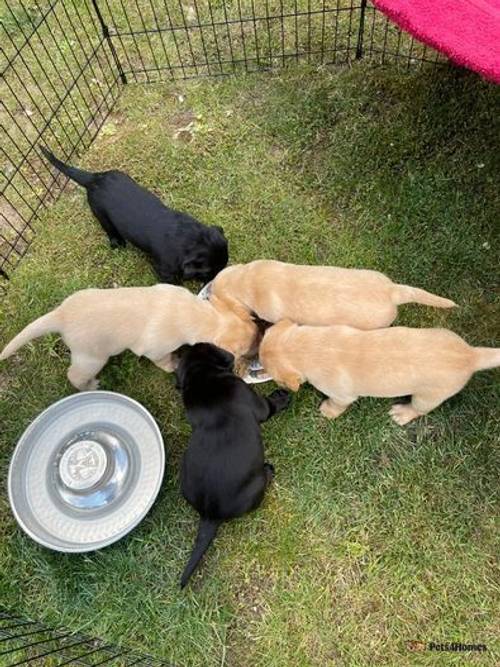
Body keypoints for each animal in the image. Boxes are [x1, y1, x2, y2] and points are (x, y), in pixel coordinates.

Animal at [0, 284, 256, 392]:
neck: (194, 313)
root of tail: (61, 315)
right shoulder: (155, 350)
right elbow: (163, 361)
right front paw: (173, 364)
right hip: (92, 357)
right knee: (74, 374)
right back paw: (90, 386)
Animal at [41, 147, 229, 284]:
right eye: (207, 273)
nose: (215, 281)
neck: (189, 237)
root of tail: (94, 179)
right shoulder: (164, 269)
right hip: (100, 214)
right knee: (109, 230)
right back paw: (118, 244)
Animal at [177, 342, 292, 588]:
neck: (202, 377)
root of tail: (209, 515)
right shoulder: (257, 404)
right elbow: (269, 407)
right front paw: (281, 397)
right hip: (255, 487)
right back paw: (268, 470)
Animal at [260, 320, 498, 426]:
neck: (311, 347)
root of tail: (471, 354)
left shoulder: (342, 395)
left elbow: (337, 404)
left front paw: (328, 411)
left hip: (428, 397)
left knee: (419, 410)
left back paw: (402, 414)